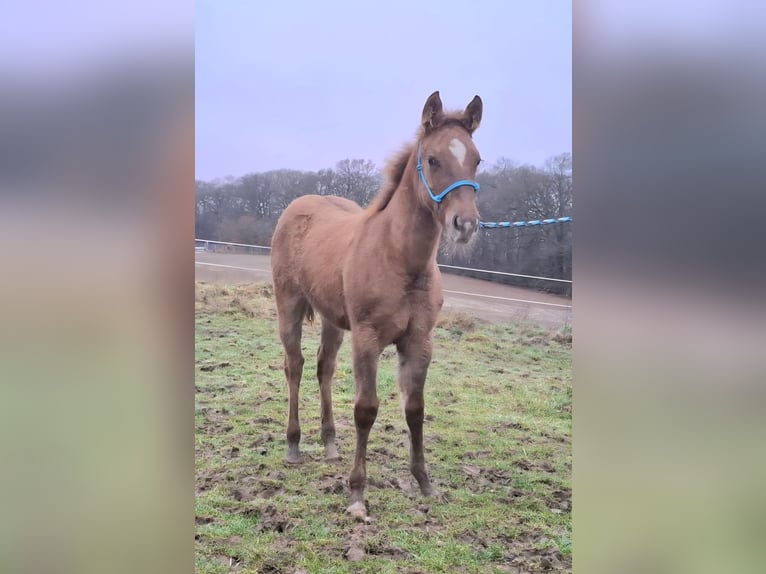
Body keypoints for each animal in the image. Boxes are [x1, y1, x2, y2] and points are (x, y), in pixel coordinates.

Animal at [270, 91, 483, 520]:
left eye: (477, 159)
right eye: (433, 159)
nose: (465, 225)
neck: (401, 261)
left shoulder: (419, 341)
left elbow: (415, 407)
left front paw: (425, 483)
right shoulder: (367, 338)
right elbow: (366, 409)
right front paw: (356, 494)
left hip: (334, 320)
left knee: (324, 368)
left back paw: (330, 443)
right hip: (289, 306)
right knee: (295, 366)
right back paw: (294, 445)